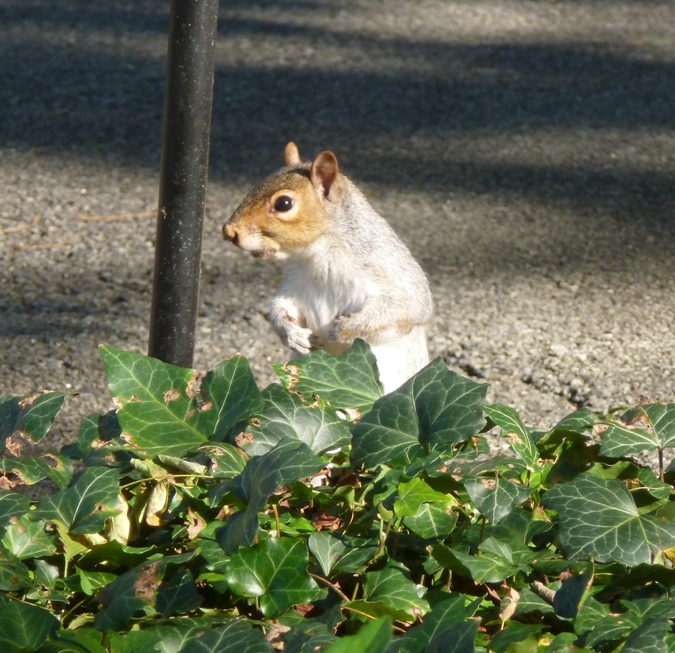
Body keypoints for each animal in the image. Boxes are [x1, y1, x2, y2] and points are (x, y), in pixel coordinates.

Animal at [222, 143, 434, 392]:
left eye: (284, 203)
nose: (229, 231)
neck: (318, 256)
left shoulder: (389, 272)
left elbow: (408, 308)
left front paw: (343, 329)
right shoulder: (297, 286)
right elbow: (280, 307)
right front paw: (291, 333)